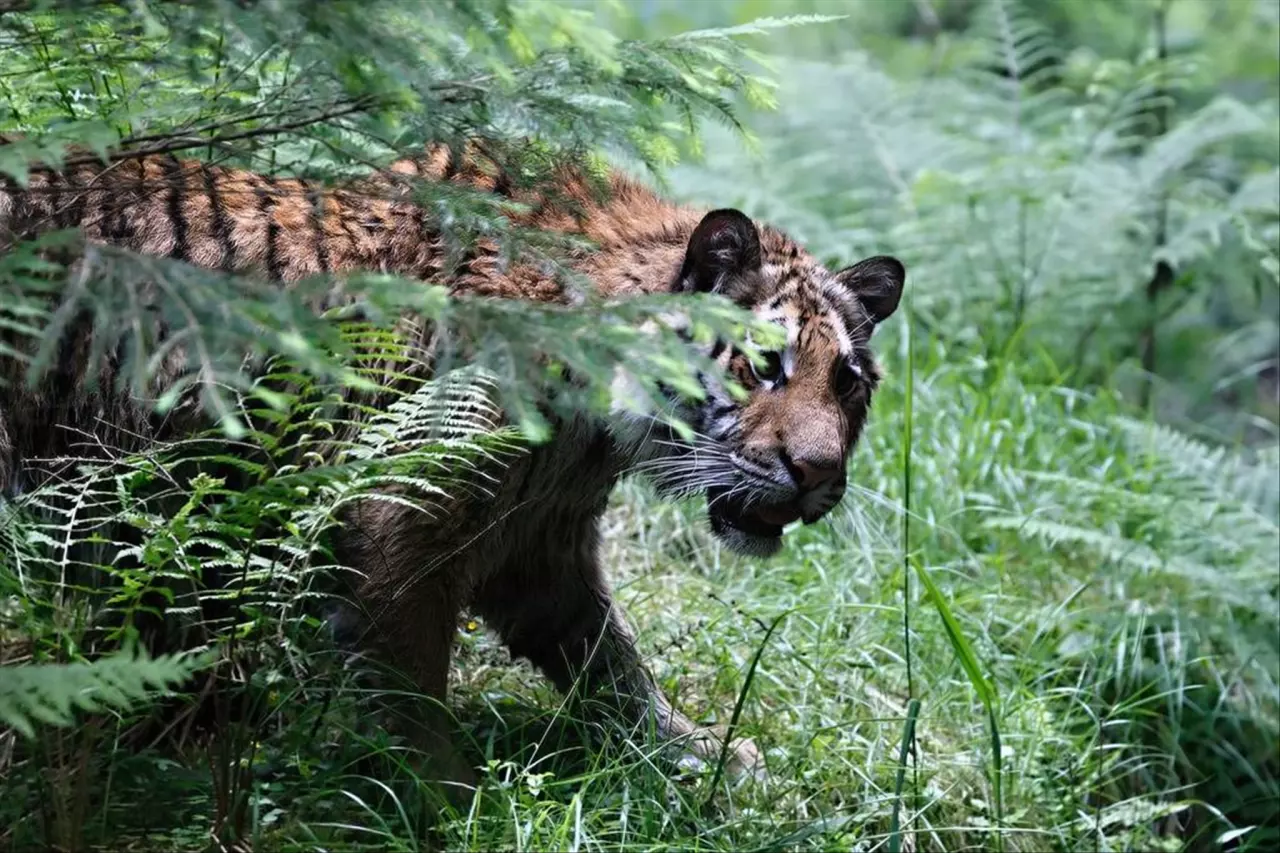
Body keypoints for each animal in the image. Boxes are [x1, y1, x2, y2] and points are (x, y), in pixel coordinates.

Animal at [0, 137, 906, 783]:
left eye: (848, 382)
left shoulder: (542, 542)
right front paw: (445, 799)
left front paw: (699, 754)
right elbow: (414, 688)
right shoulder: (397, 519)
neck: (594, 426)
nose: (819, 475)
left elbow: (611, 661)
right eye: (762, 365)